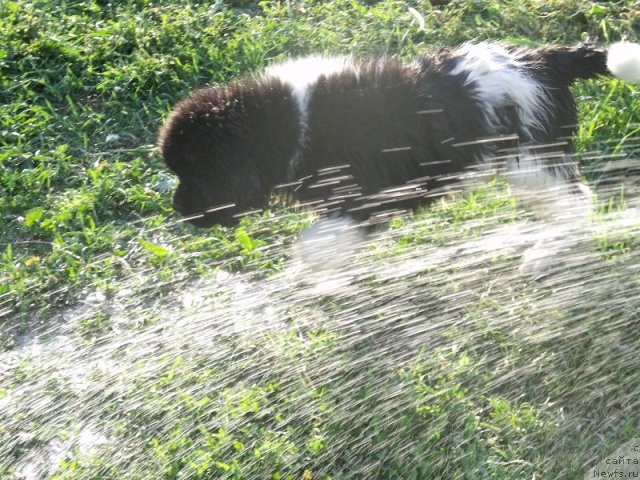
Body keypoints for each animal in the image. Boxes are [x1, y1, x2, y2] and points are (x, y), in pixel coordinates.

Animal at [159, 41, 640, 229]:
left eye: (195, 175)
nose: (178, 208)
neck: (292, 121)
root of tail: (544, 60)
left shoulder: (364, 191)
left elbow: (324, 239)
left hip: (533, 158)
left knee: (573, 203)